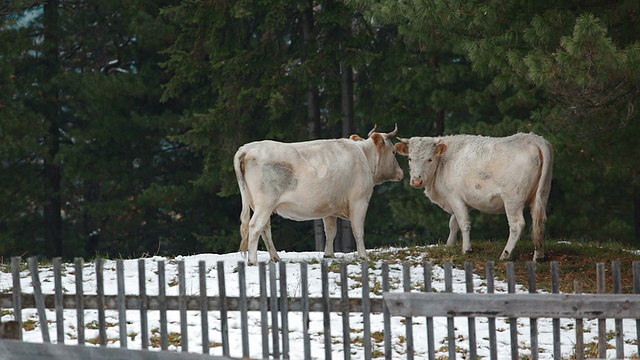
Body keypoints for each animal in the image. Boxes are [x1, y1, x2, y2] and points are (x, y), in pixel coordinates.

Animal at [235, 124, 404, 264]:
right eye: (393, 151)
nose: (401, 173)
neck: (363, 156)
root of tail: (248, 147)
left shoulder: (329, 208)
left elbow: (330, 231)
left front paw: (329, 255)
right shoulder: (359, 201)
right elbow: (358, 230)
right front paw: (364, 256)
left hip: (258, 204)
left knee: (265, 229)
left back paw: (275, 257)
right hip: (265, 203)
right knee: (255, 226)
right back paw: (253, 261)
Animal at [392, 134, 552, 260]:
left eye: (430, 159)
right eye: (410, 159)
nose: (416, 180)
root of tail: (534, 138)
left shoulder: (455, 197)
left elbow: (463, 223)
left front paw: (466, 249)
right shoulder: (461, 200)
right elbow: (453, 223)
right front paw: (449, 245)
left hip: (513, 199)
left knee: (517, 225)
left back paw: (505, 254)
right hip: (542, 195)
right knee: (539, 222)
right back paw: (539, 256)